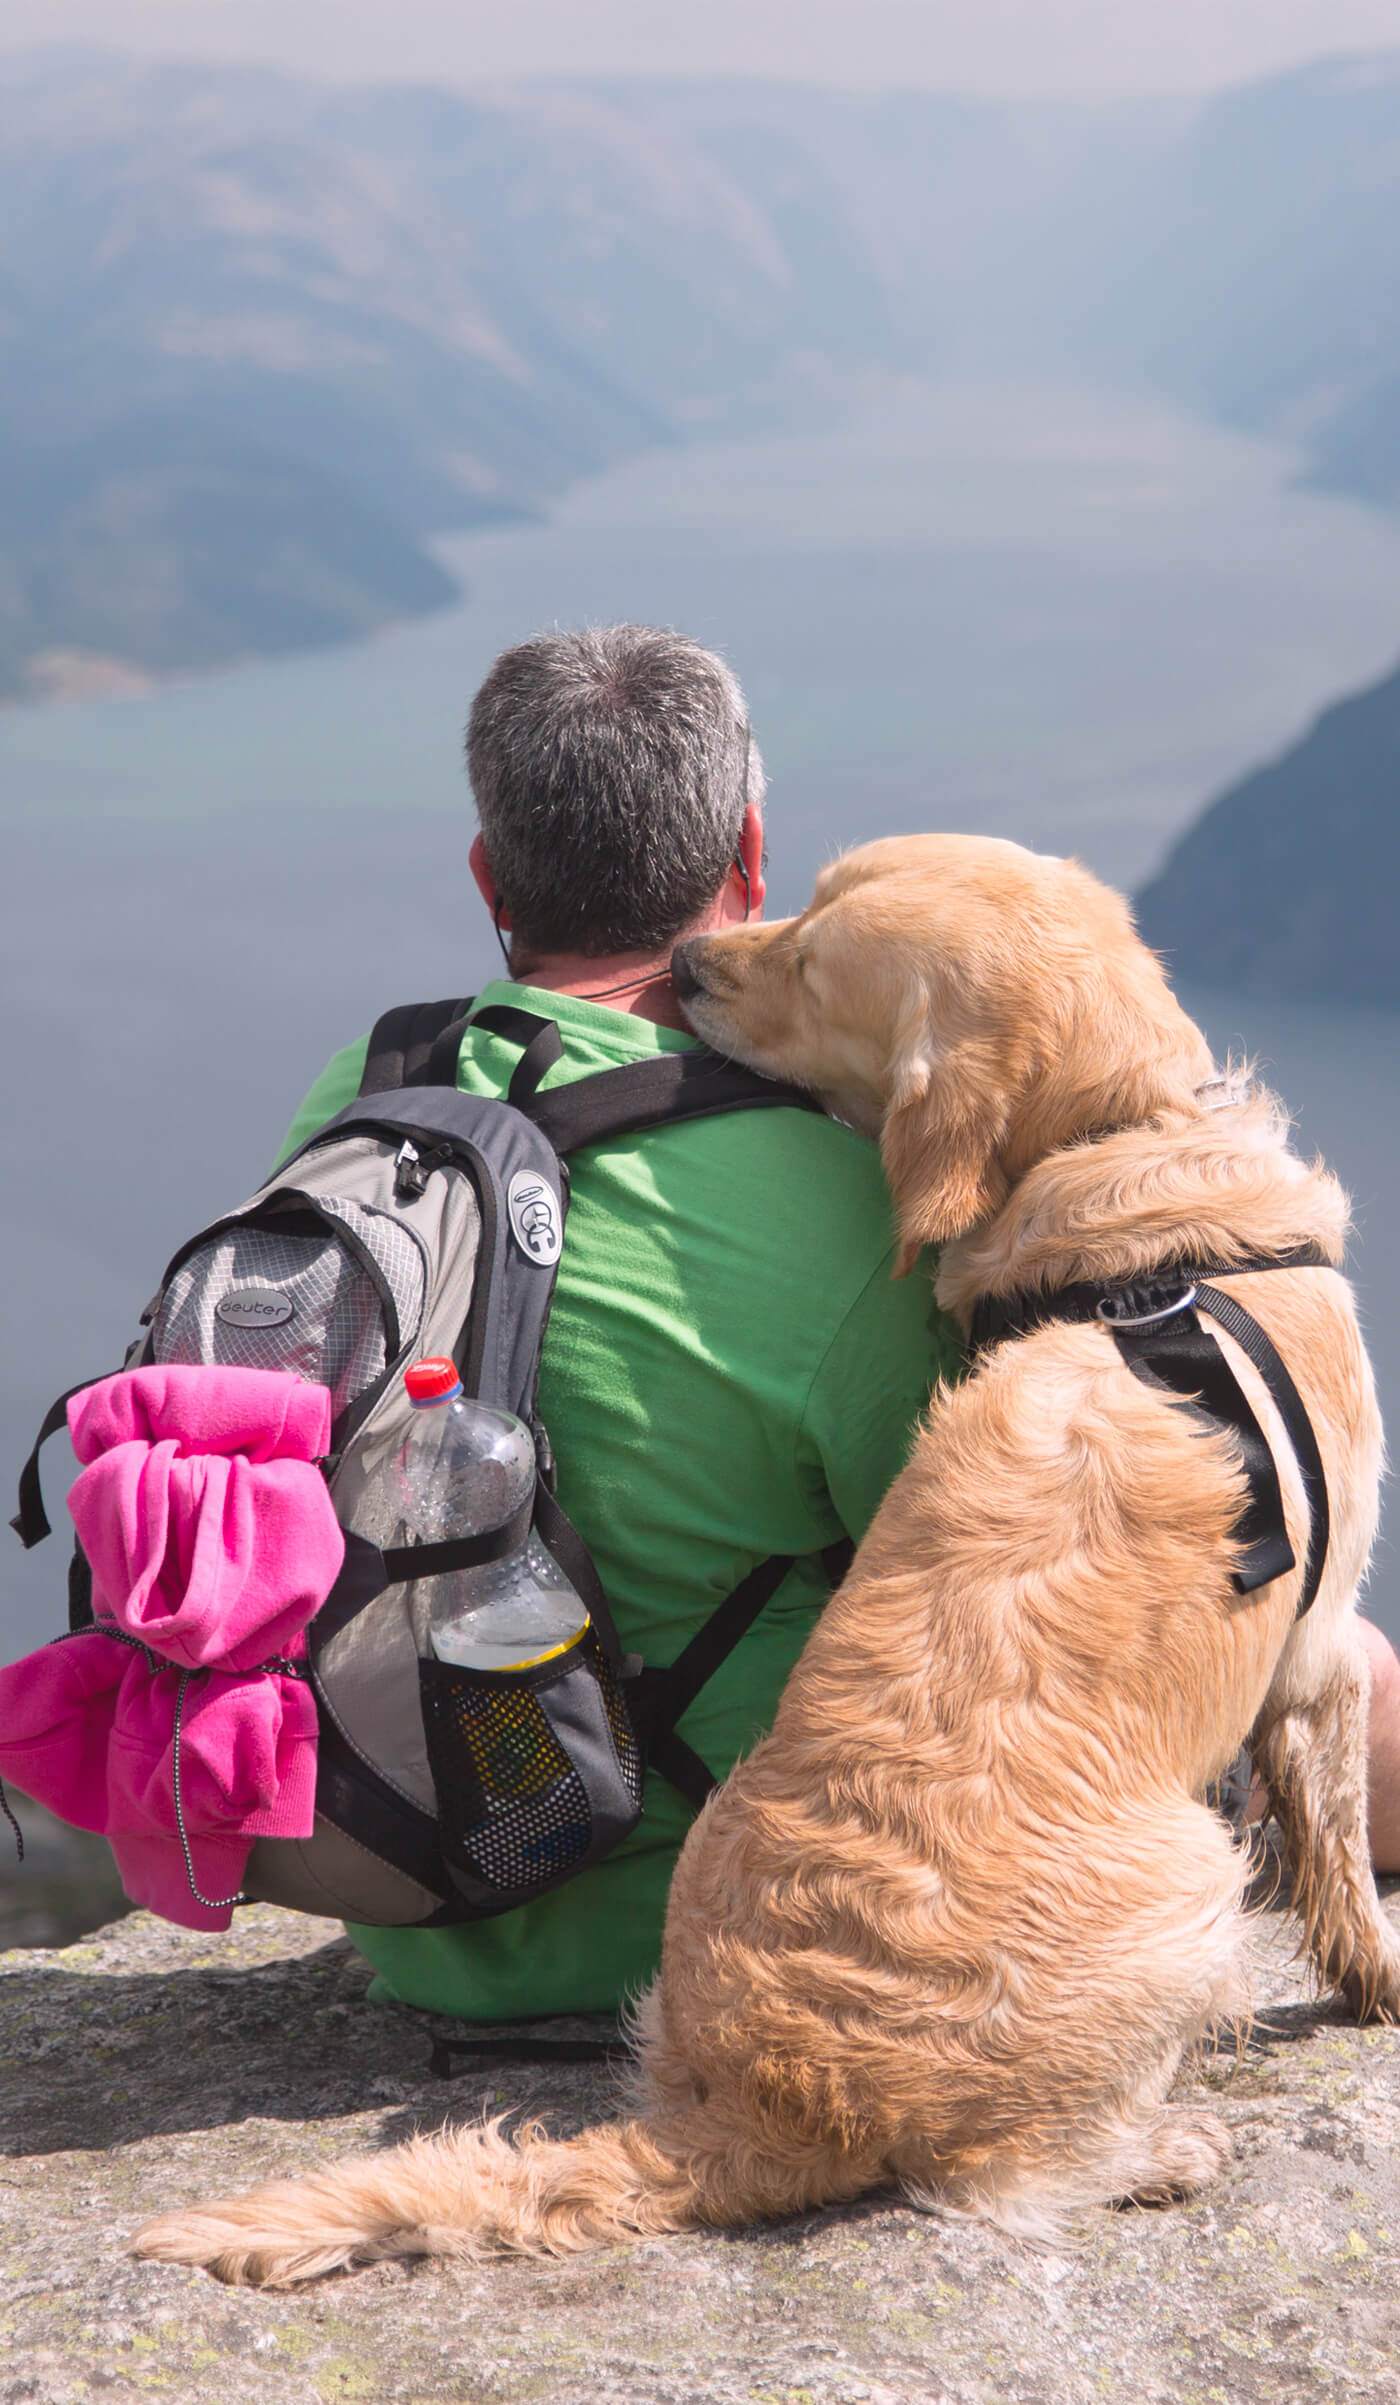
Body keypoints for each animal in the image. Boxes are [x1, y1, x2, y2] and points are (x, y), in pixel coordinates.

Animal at [134, 836, 1400, 2279]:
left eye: (808, 954)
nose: (686, 964)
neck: (1124, 1168)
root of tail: (766, 2105)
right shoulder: (1321, 1641)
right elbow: (1339, 1836)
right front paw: (1376, 1976)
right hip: (1189, 1869)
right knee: (1000, 2178)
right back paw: (1164, 2149)